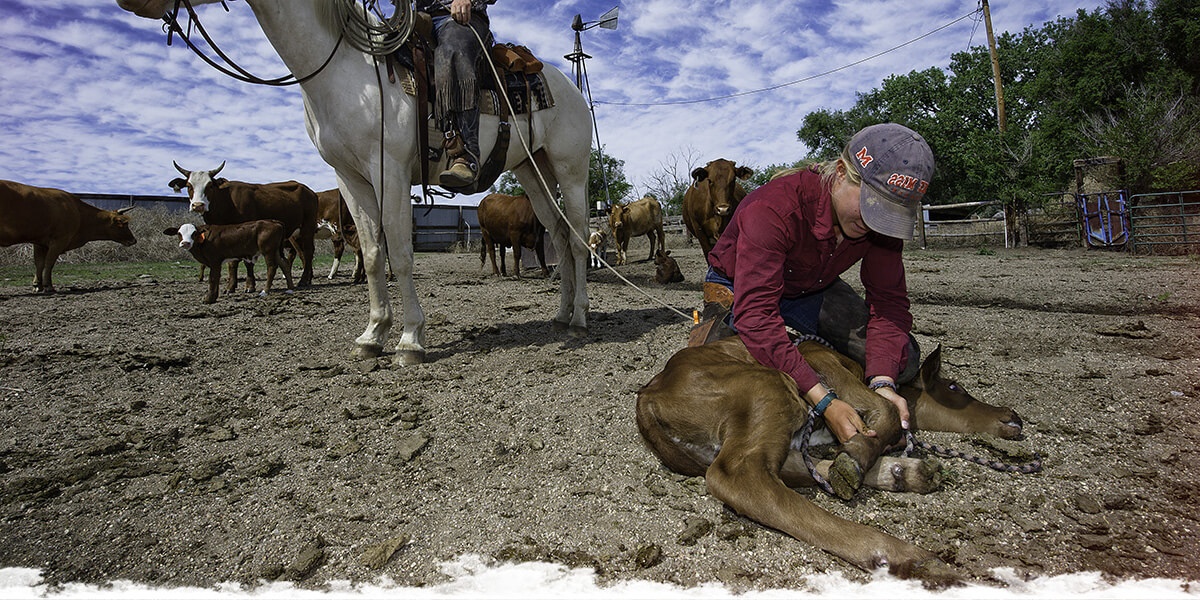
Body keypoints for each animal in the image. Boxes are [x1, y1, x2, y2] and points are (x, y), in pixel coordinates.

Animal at [0, 177, 136, 292]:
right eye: (124, 224)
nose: (134, 240)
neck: (79, 213)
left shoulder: (39, 242)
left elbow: (39, 263)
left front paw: (37, 285)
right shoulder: (59, 241)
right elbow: (49, 262)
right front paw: (48, 286)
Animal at [163, 222, 294, 304]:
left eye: (194, 233)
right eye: (179, 233)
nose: (185, 243)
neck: (204, 240)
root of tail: (275, 223)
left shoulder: (215, 261)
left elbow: (213, 279)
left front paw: (209, 299)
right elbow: (216, 279)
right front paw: (214, 296)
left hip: (268, 251)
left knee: (272, 268)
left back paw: (265, 291)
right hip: (276, 251)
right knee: (285, 265)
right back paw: (290, 288)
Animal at [171, 160, 319, 291]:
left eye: (210, 185)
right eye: (189, 186)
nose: (198, 205)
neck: (227, 201)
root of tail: (310, 191)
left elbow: (246, 261)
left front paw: (249, 285)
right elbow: (232, 262)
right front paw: (231, 286)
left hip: (307, 228)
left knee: (308, 252)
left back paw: (304, 280)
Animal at [638, 338, 1032, 585]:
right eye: (954, 388)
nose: (1013, 415)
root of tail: (648, 396)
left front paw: (859, 458)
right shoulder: (818, 359)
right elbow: (887, 409)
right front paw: (858, 451)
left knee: (783, 470)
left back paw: (909, 474)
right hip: (766, 384)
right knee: (740, 477)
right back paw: (905, 555)